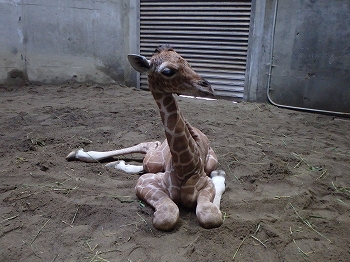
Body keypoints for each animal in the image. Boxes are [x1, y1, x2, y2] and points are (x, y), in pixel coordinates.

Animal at [66, 45, 226, 231]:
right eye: (168, 71)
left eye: (189, 63)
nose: (208, 88)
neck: (184, 168)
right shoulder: (146, 182)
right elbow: (166, 215)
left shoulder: (206, 184)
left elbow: (211, 215)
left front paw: (219, 177)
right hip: (154, 161)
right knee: (147, 149)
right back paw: (82, 154)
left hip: (210, 162)